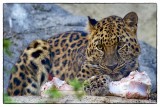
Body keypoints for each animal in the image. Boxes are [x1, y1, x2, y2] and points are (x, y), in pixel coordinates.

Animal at [6, 11, 141, 96]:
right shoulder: (77, 79)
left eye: (120, 45)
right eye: (100, 47)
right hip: (36, 46)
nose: (111, 66)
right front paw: (96, 84)